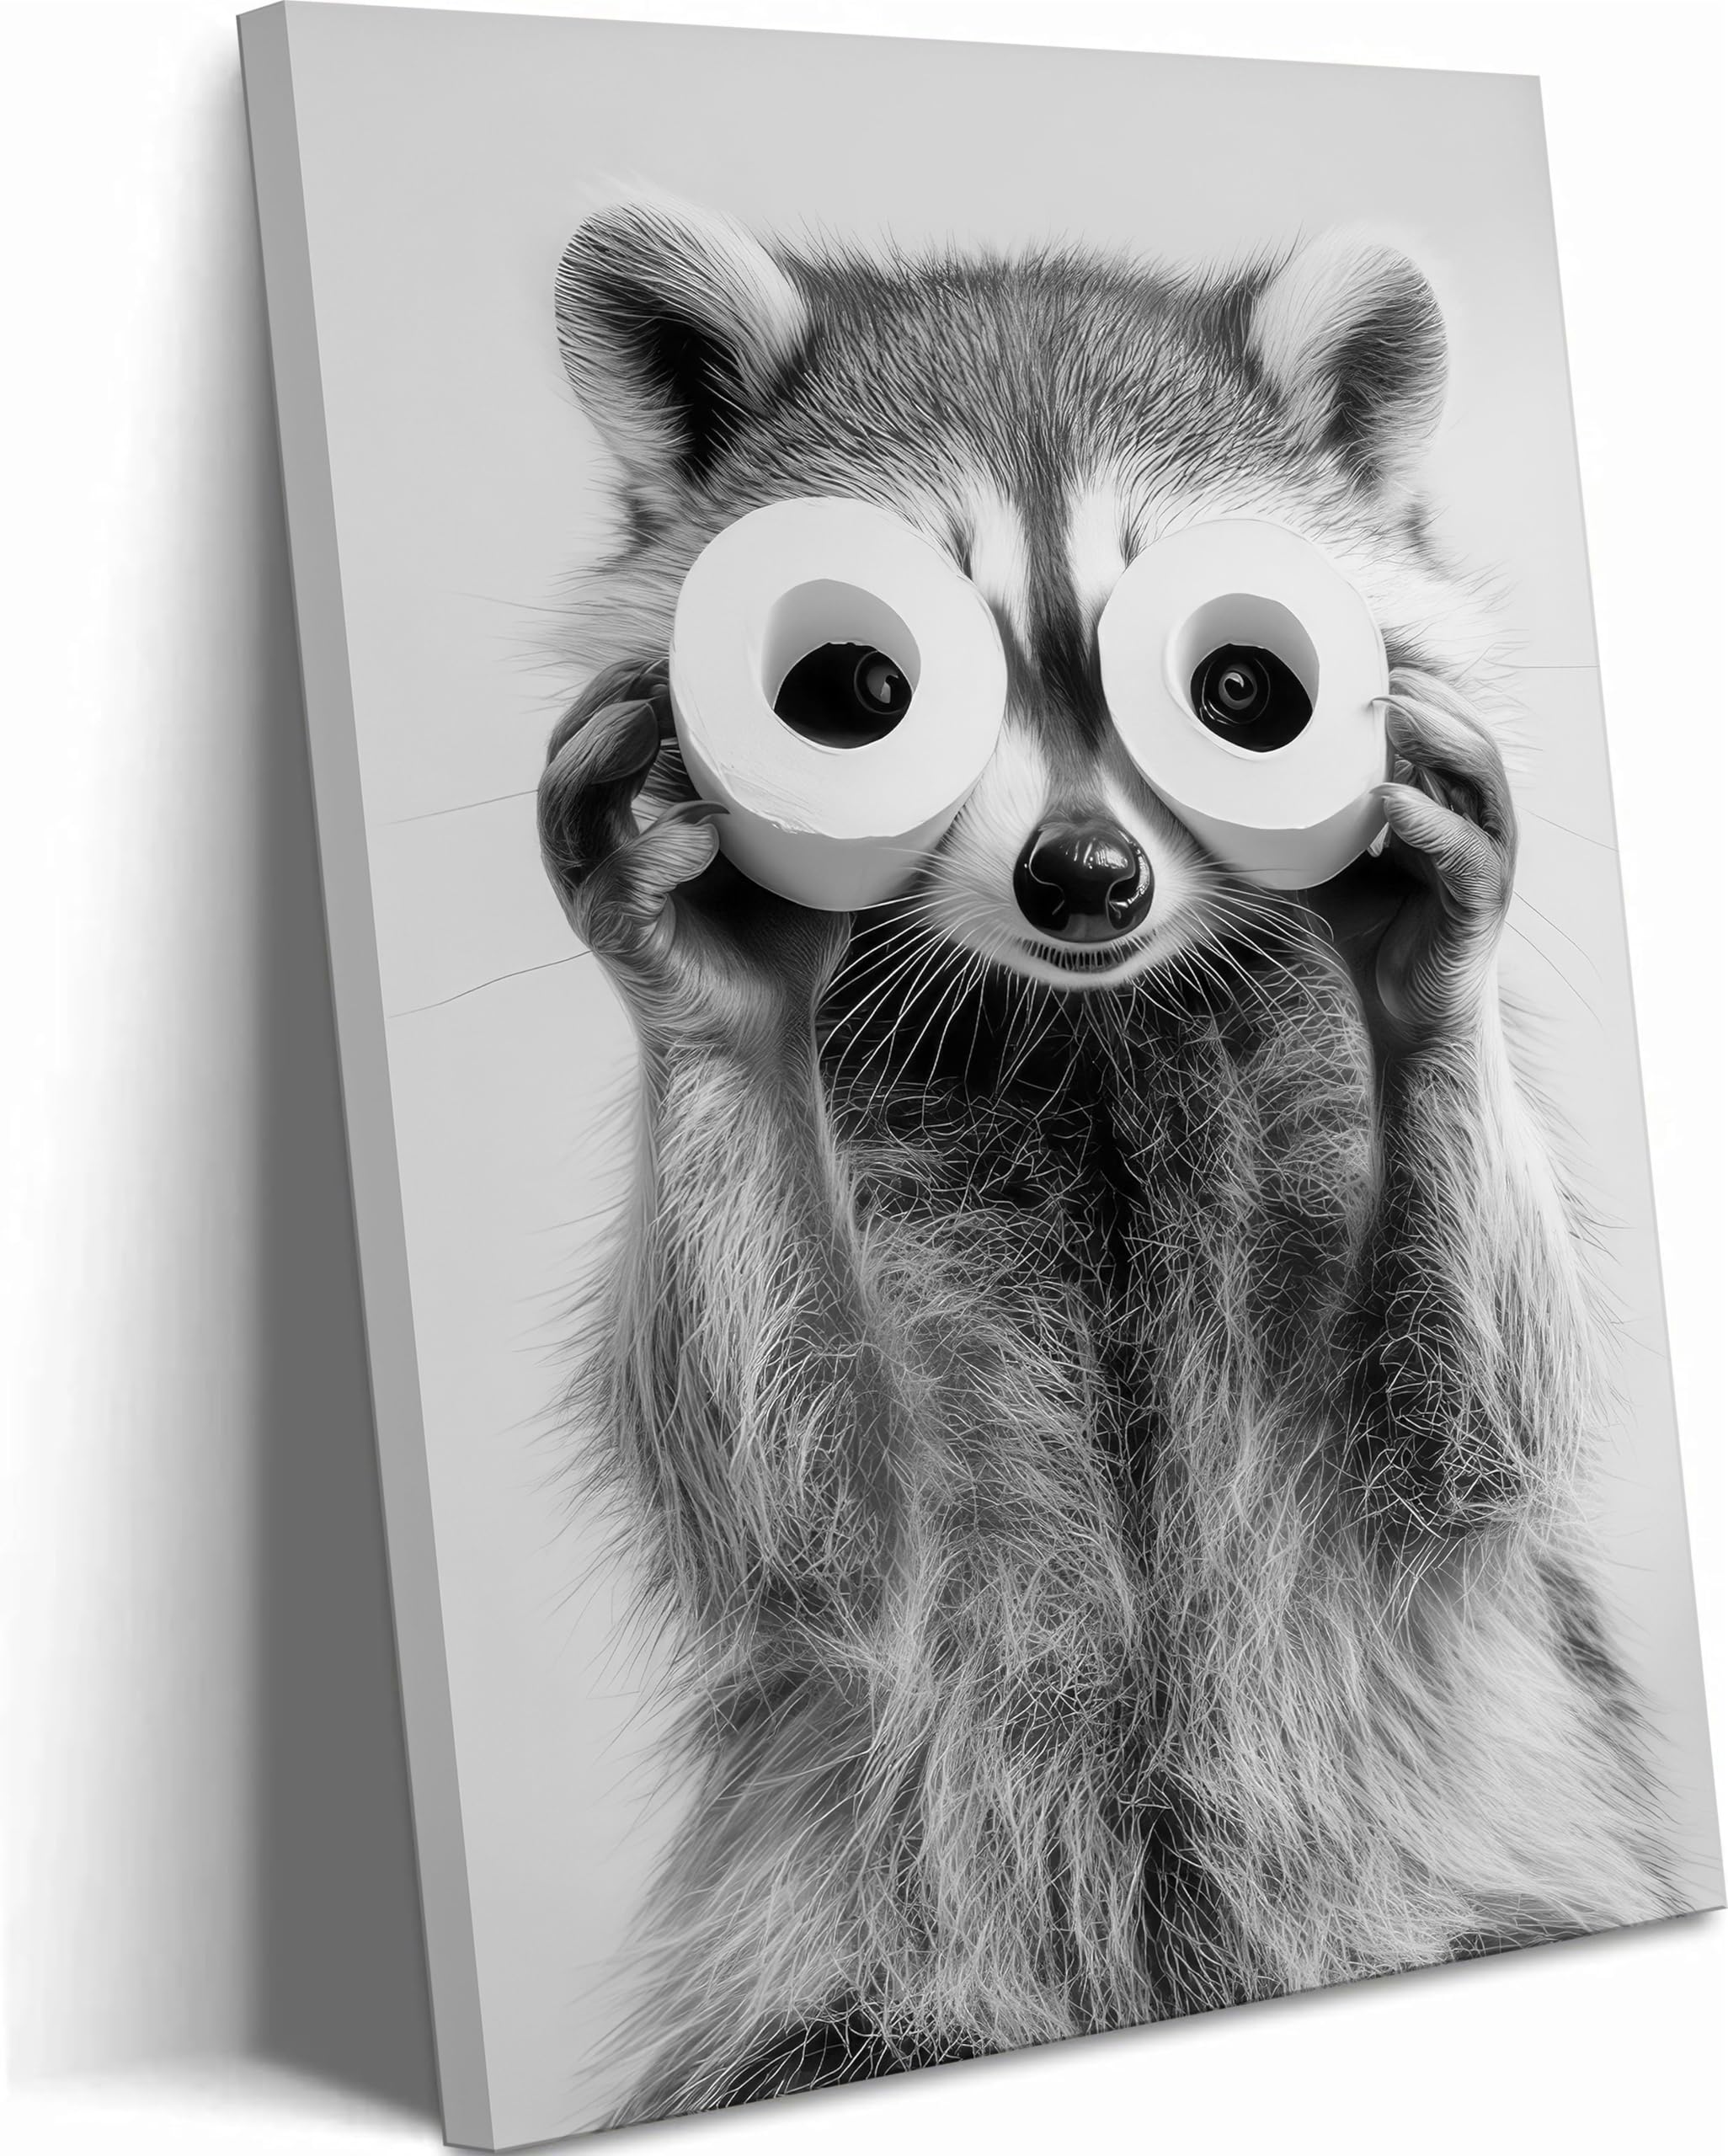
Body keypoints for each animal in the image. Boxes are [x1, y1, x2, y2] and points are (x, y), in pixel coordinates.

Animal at [537, 195, 1679, 2123]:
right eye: (859, 688)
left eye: (1241, 686)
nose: (1085, 876)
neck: (1089, 1021)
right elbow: (812, 1520)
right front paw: (708, 987)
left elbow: (1470, 1431)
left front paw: (1433, 968)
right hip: (856, 1983)